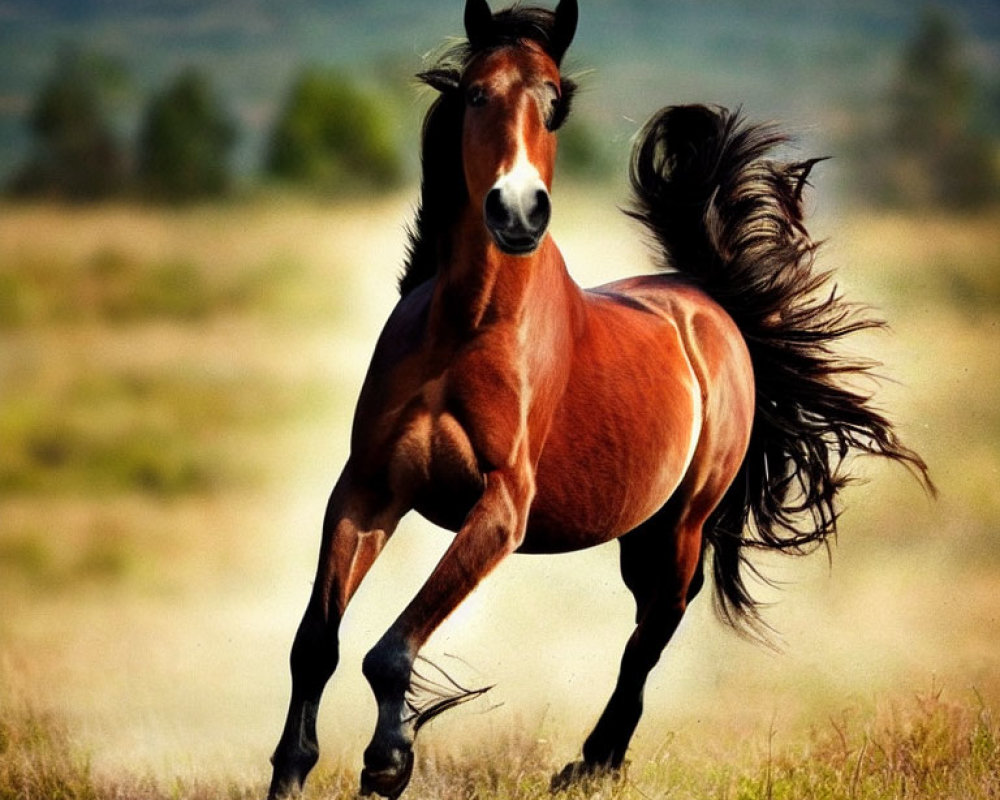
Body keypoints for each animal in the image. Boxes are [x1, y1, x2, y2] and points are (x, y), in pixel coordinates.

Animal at [266, 3, 928, 796]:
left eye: (555, 103)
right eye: (476, 93)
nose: (518, 211)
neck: (467, 327)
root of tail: (707, 304)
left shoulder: (502, 509)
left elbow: (390, 650)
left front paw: (388, 760)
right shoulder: (367, 489)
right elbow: (317, 642)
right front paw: (291, 770)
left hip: (681, 523)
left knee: (654, 631)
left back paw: (591, 763)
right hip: (639, 531)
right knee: (651, 622)